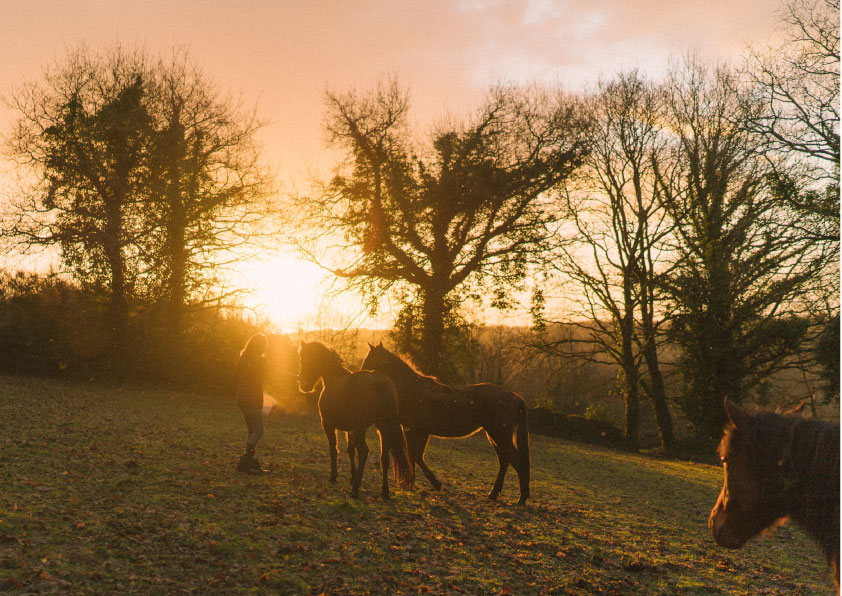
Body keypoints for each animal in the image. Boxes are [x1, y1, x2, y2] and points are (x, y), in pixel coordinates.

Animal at [296, 340, 412, 498]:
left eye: (304, 359)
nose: (303, 385)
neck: (334, 379)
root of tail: (378, 382)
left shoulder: (328, 425)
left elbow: (334, 449)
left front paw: (334, 476)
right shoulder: (349, 429)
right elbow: (351, 451)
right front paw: (352, 476)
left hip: (361, 429)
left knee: (364, 452)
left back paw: (355, 489)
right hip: (382, 428)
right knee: (384, 458)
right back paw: (384, 491)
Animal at [358, 342, 528, 506]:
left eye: (370, 360)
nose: (361, 376)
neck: (413, 389)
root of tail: (512, 396)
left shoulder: (416, 430)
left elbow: (415, 456)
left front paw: (424, 483)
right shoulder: (416, 431)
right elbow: (414, 456)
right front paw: (413, 484)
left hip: (499, 435)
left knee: (516, 461)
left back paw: (522, 498)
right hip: (494, 436)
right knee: (504, 461)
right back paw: (494, 494)